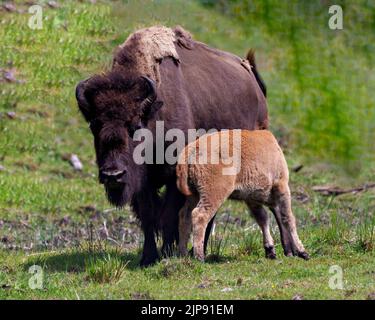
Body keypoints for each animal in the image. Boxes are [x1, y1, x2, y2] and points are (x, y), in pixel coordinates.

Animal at [75, 25, 290, 264]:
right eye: (94, 125)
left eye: (135, 126)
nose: (113, 175)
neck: (154, 113)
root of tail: (252, 77)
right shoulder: (143, 182)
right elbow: (148, 216)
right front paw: (148, 257)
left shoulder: (174, 177)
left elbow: (169, 216)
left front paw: (169, 252)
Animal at [176, 129, 308, 262]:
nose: (290, 252)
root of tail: (192, 148)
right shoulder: (281, 186)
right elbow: (288, 218)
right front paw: (303, 252)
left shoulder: (251, 199)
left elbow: (263, 219)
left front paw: (270, 250)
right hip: (213, 193)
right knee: (199, 215)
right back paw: (199, 257)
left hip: (194, 194)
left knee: (184, 215)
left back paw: (183, 253)